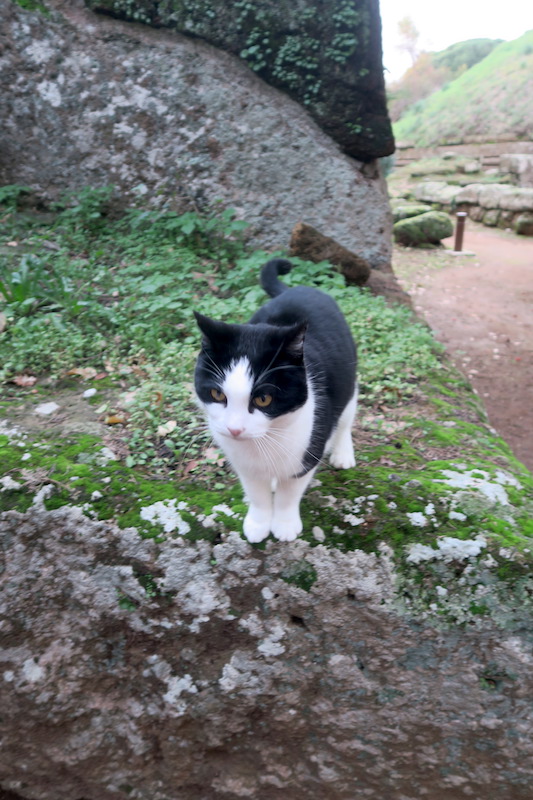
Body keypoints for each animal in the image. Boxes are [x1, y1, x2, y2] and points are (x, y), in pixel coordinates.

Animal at [193, 256, 356, 544]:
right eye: (217, 394)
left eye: (264, 399)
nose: (235, 429)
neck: (262, 443)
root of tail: (299, 288)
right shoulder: (244, 465)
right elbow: (257, 493)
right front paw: (258, 523)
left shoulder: (307, 452)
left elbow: (289, 493)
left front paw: (284, 524)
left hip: (349, 377)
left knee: (347, 416)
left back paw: (343, 453)